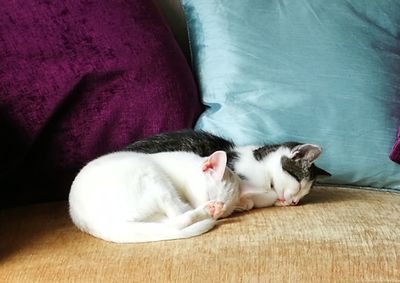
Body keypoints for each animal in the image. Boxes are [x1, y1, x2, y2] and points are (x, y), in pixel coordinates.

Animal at [68, 151, 241, 244]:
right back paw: (205, 210)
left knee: (174, 223)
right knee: (178, 217)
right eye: (209, 195)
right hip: (152, 178)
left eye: (224, 215)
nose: (219, 210)